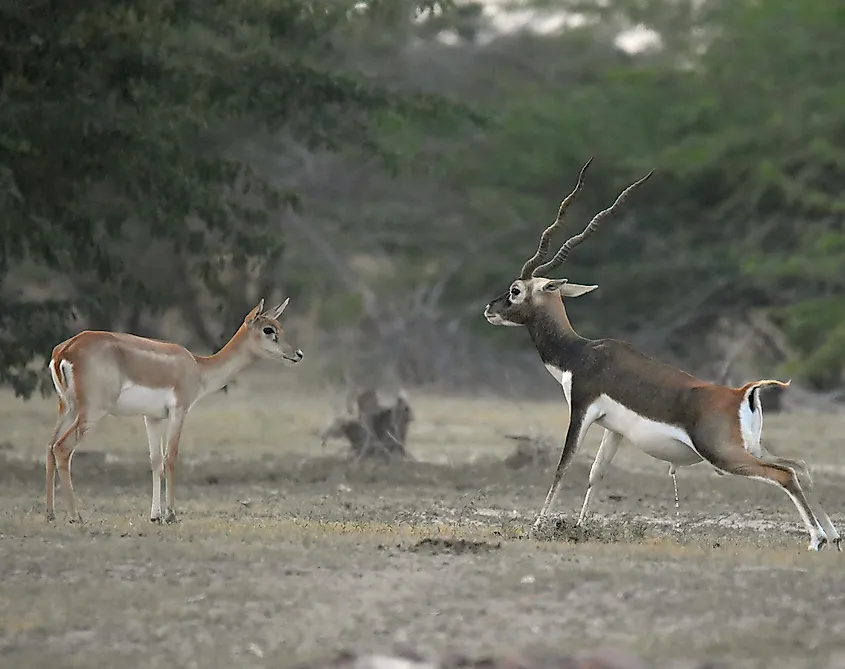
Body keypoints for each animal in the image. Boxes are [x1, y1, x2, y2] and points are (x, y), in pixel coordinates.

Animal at [45, 300, 304, 524]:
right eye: (268, 329)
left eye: (280, 326)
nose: (298, 354)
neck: (198, 368)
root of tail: (64, 351)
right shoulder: (179, 411)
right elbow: (171, 457)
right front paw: (171, 514)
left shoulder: (152, 417)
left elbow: (155, 460)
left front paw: (155, 516)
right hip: (92, 411)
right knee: (62, 448)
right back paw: (75, 516)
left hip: (67, 408)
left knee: (49, 446)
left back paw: (50, 514)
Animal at [482, 159, 836, 552]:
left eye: (515, 290)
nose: (489, 309)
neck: (580, 353)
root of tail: (742, 392)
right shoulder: (613, 429)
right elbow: (596, 473)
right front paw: (579, 525)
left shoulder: (582, 410)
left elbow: (564, 466)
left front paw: (537, 526)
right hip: (751, 448)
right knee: (800, 465)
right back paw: (834, 536)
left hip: (725, 456)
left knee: (784, 474)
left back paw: (817, 540)